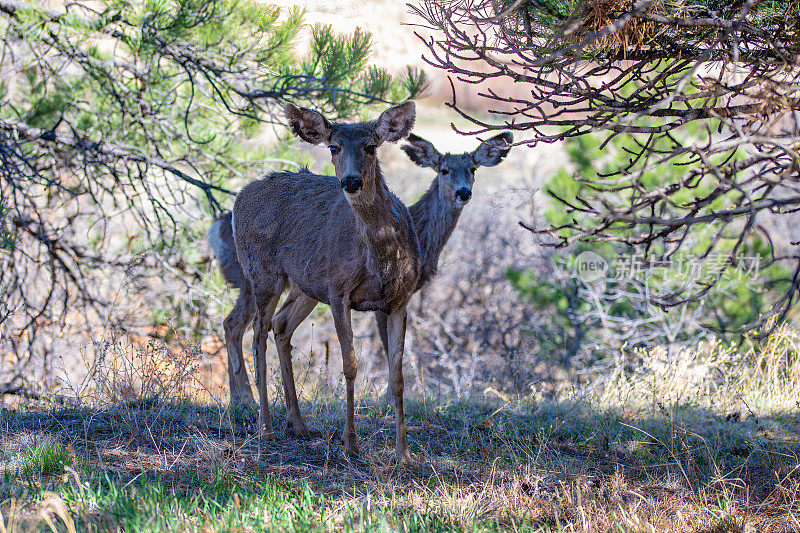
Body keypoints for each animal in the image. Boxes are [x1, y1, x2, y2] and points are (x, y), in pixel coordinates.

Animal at [209, 131, 516, 442]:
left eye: (473, 169)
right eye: (443, 170)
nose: (463, 192)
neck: (422, 236)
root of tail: (222, 222)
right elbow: (386, 347)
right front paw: (385, 401)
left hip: (304, 287)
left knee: (273, 324)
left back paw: (282, 417)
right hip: (256, 277)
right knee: (241, 325)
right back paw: (252, 407)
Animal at [216, 102, 422, 460]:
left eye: (371, 146)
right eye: (334, 147)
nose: (351, 181)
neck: (381, 254)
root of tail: (240, 197)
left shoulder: (400, 299)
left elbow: (397, 376)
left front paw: (404, 455)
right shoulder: (339, 291)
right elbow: (350, 364)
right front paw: (350, 444)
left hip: (306, 286)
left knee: (281, 325)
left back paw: (298, 424)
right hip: (262, 273)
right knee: (255, 333)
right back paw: (265, 426)